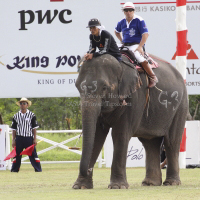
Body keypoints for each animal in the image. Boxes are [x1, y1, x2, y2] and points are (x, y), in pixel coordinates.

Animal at [73, 53, 188, 189]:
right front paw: (80, 186)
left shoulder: (135, 97)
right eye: (77, 87)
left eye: (104, 87)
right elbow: (96, 135)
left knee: (171, 141)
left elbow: (120, 134)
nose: (88, 170)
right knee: (150, 143)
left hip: (180, 106)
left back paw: (171, 183)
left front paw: (117, 186)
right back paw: (150, 183)